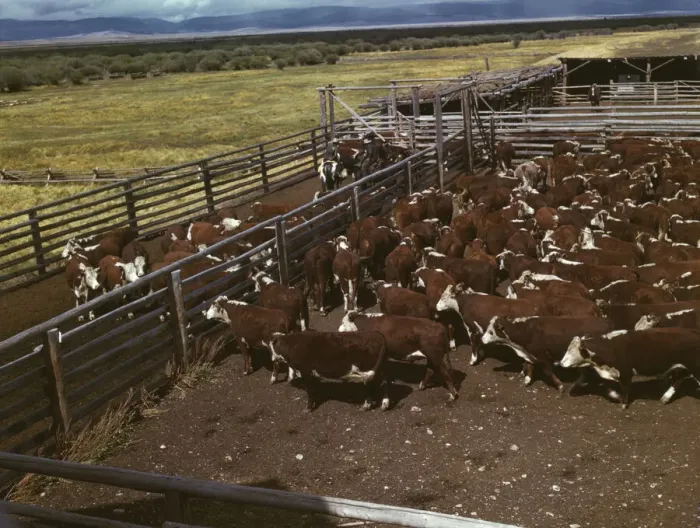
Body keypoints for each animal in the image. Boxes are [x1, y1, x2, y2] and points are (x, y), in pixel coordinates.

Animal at [560, 328, 700, 408]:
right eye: (568, 349)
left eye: (573, 351)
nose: (561, 363)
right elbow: (610, 390)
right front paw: (617, 397)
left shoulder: (625, 372)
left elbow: (626, 388)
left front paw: (623, 404)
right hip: (682, 367)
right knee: (679, 379)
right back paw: (665, 398)